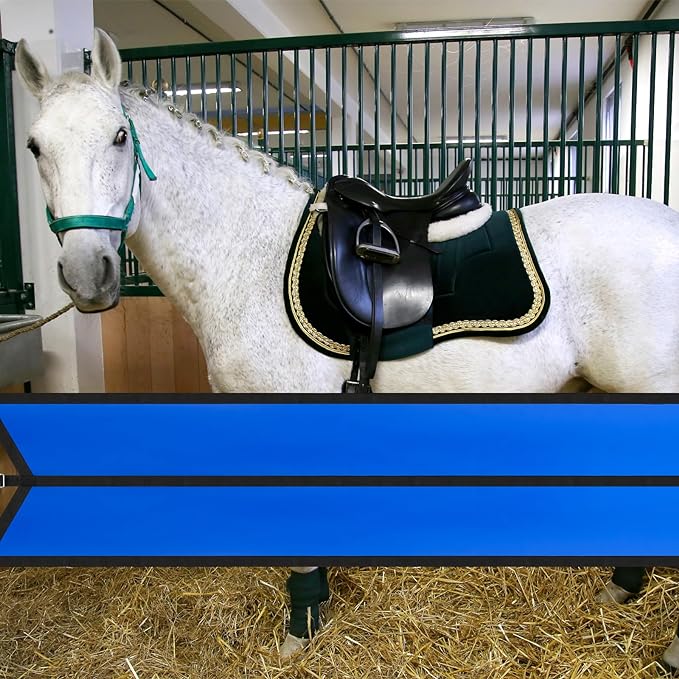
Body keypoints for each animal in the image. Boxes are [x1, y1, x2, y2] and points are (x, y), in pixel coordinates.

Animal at [14, 28, 679, 665]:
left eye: (119, 137)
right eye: (35, 147)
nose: (88, 274)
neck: (250, 254)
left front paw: (301, 626)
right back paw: (621, 586)